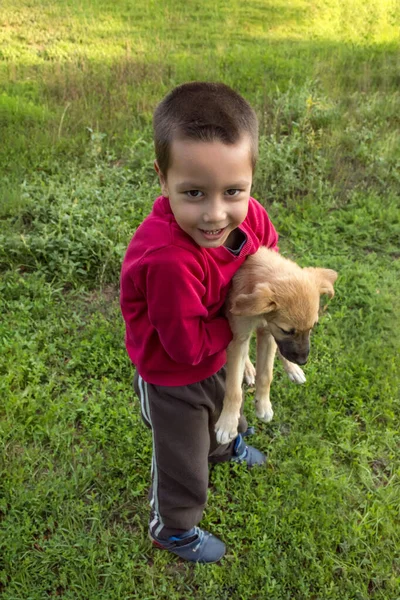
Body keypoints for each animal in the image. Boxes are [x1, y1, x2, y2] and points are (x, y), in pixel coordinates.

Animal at [216, 246, 338, 442]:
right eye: (287, 331)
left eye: (313, 327)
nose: (303, 361)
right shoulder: (238, 335)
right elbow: (234, 388)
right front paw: (228, 423)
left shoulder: (268, 333)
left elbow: (266, 375)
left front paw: (263, 405)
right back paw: (248, 369)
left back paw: (292, 369)